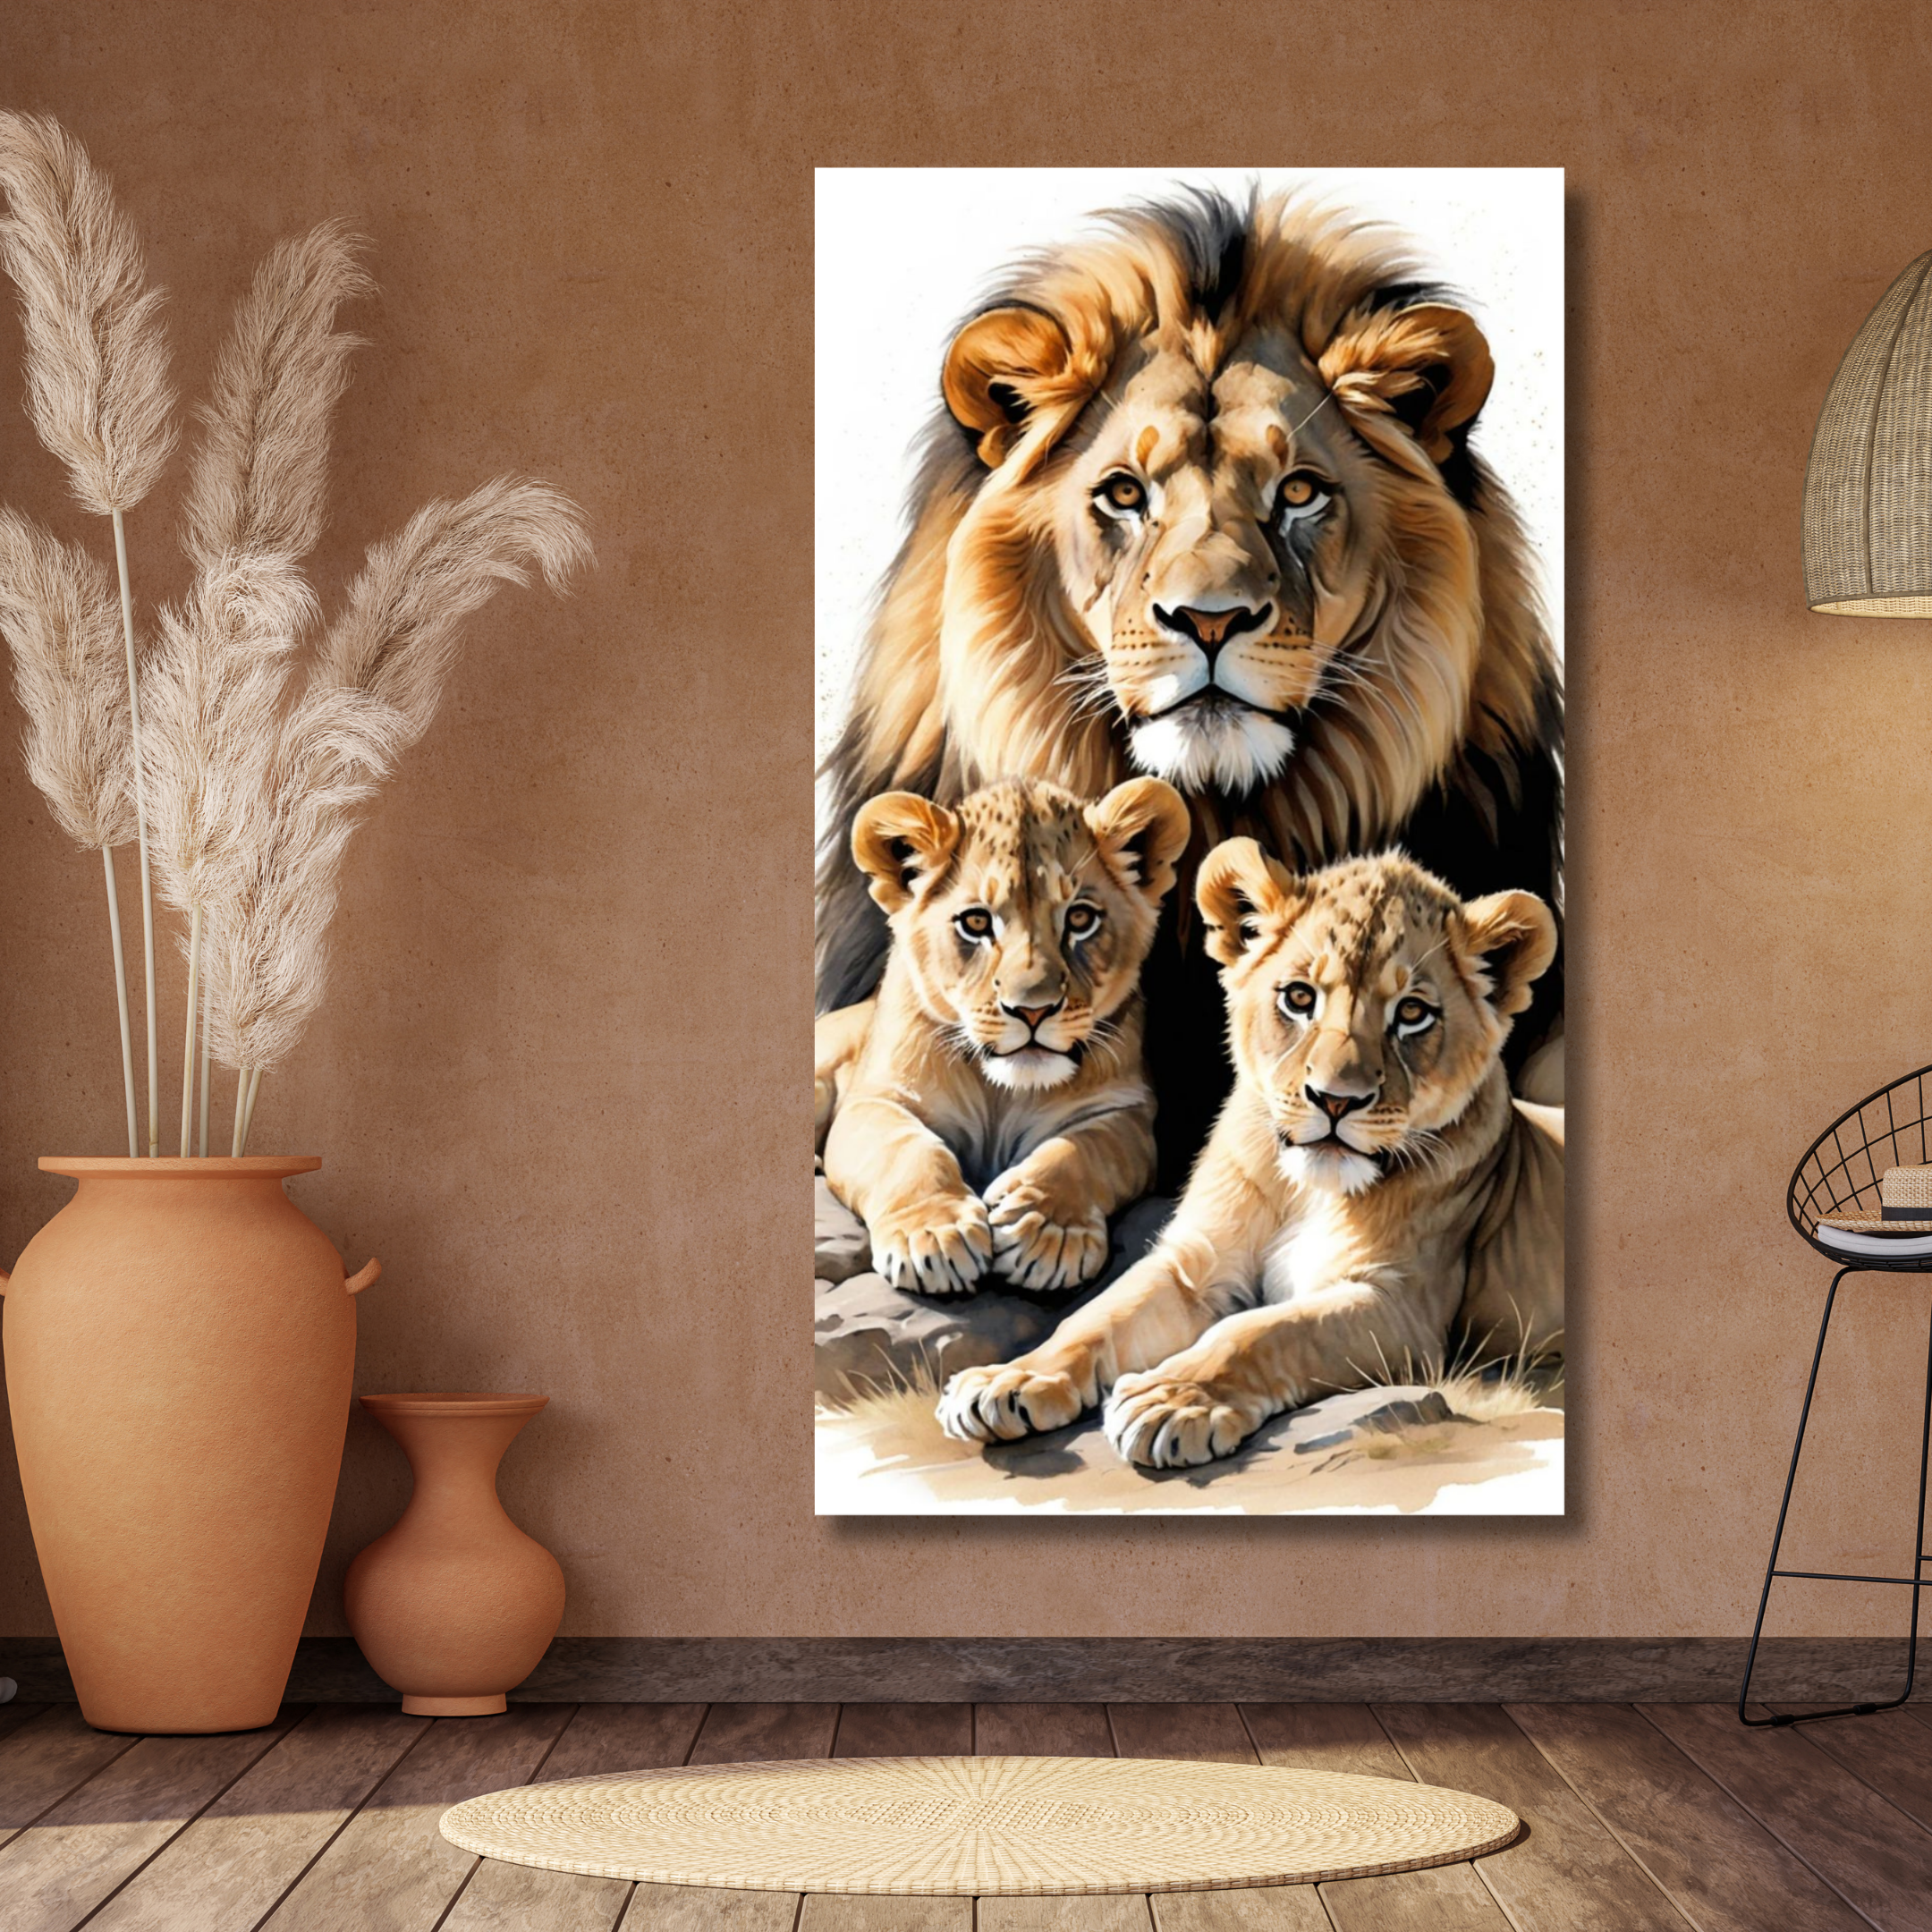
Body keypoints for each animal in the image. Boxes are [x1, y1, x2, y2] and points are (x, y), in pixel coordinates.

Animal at [816, 774, 1190, 1296]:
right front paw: (933, 1235)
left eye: (1080, 918)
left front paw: (1046, 1231)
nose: (1032, 1010)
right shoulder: (877, 1099)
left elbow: (1081, 1152)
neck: (1003, 1094)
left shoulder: (1124, 1111)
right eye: (976, 922)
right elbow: (907, 1151)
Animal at [936, 839, 1562, 1467]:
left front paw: (1171, 1400)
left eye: (1412, 1014)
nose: (1336, 1100)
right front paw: (1007, 1380)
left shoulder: (1403, 1308)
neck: (1307, 1190)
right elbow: (1096, 1318)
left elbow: (1263, 1332)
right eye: (1300, 998)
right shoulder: (1195, 1263)